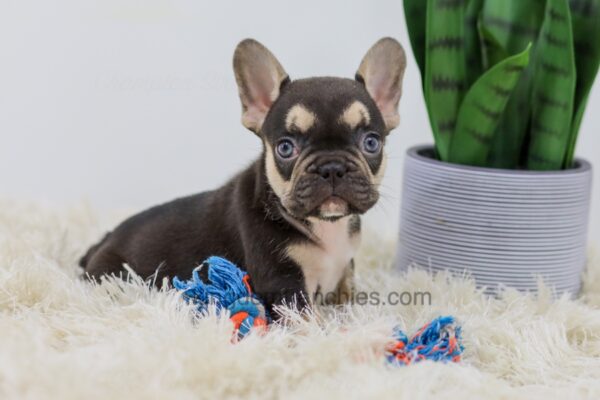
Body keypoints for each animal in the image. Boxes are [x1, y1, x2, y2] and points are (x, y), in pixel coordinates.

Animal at [79, 37, 406, 314]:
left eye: (371, 143)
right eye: (285, 147)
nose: (332, 167)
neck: (325, 227)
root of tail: (101, 243)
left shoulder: (344, 268)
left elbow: (348, 296)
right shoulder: (284, 284)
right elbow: (310, 322)